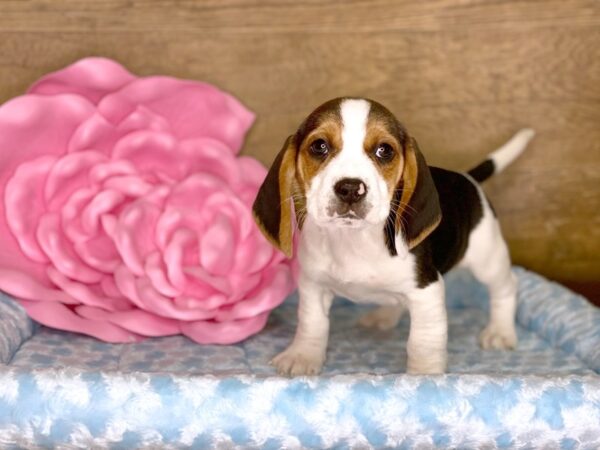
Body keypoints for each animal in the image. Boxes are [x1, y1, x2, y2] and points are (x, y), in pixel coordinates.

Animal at [253, 98, 536, 376]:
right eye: (319, 146)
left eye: (384, 150)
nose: (351, 188)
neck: (353, 240)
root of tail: (467, 178)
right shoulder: (313, 284)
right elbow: (312, 323)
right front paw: (302, 355)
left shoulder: (426, 291)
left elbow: (423, 342)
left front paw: (424, 376)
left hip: (488, 258)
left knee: (506, 287)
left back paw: (500, 331)